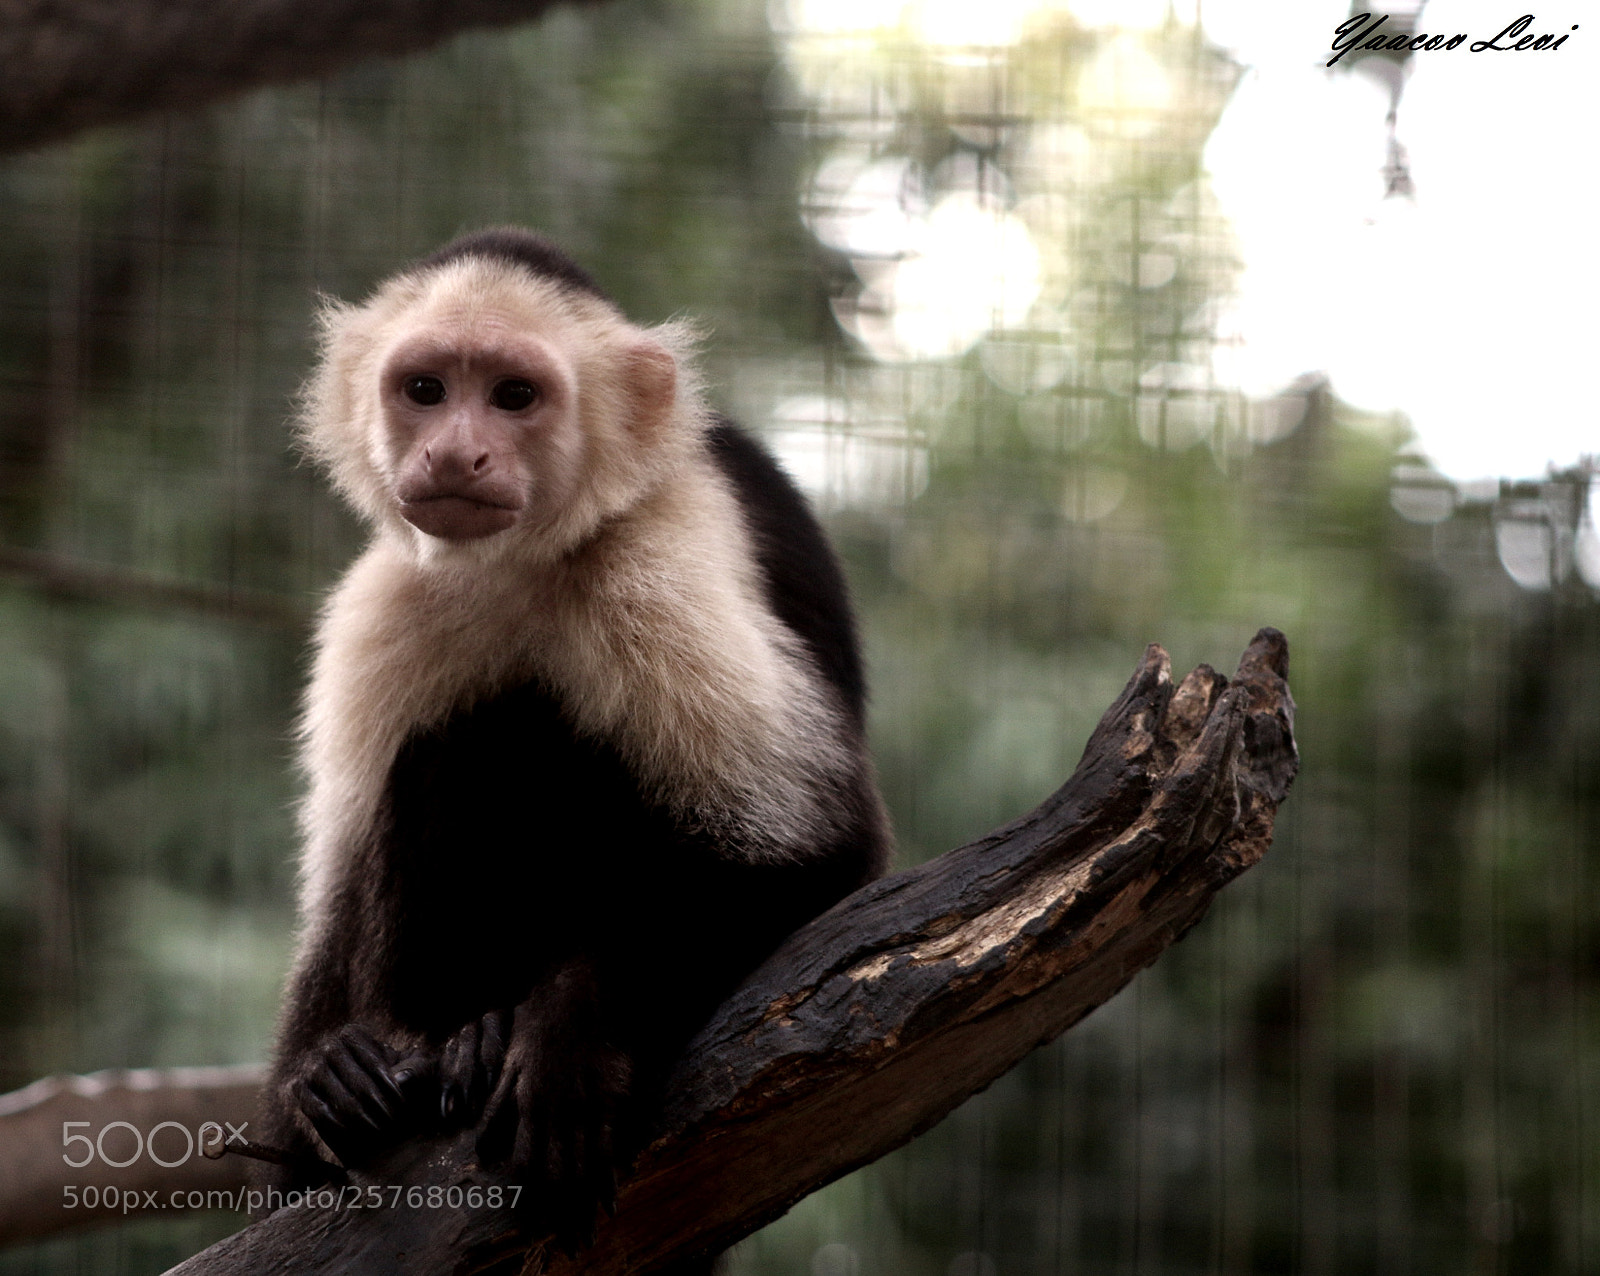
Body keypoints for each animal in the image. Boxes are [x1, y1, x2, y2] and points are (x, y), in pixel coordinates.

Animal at [256, 228, 891, 1250]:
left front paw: (570, 1025)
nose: (456, 452)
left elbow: (823, 859)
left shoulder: (661, 553)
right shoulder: (388, 598)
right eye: (425, 389)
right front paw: (315, 1087)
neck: (530, 557)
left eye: (514, 396)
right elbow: (340, 880)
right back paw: (434, 1044)